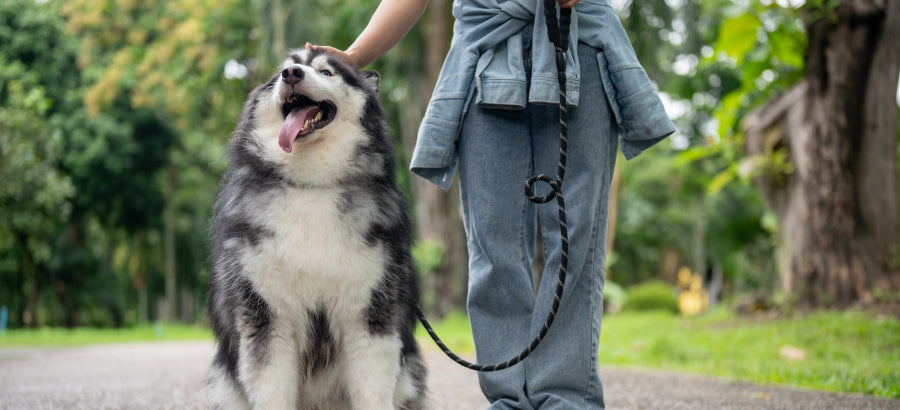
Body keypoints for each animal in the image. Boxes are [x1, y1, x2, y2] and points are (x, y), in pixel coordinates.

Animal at [207, 48, 426, 410]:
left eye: (326, 72)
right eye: (284, 68)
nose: (292, 74)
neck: (312, 185)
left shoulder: (370, 318)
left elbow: (372, 388)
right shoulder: (267, 318)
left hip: (411, 374)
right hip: (223, 383)